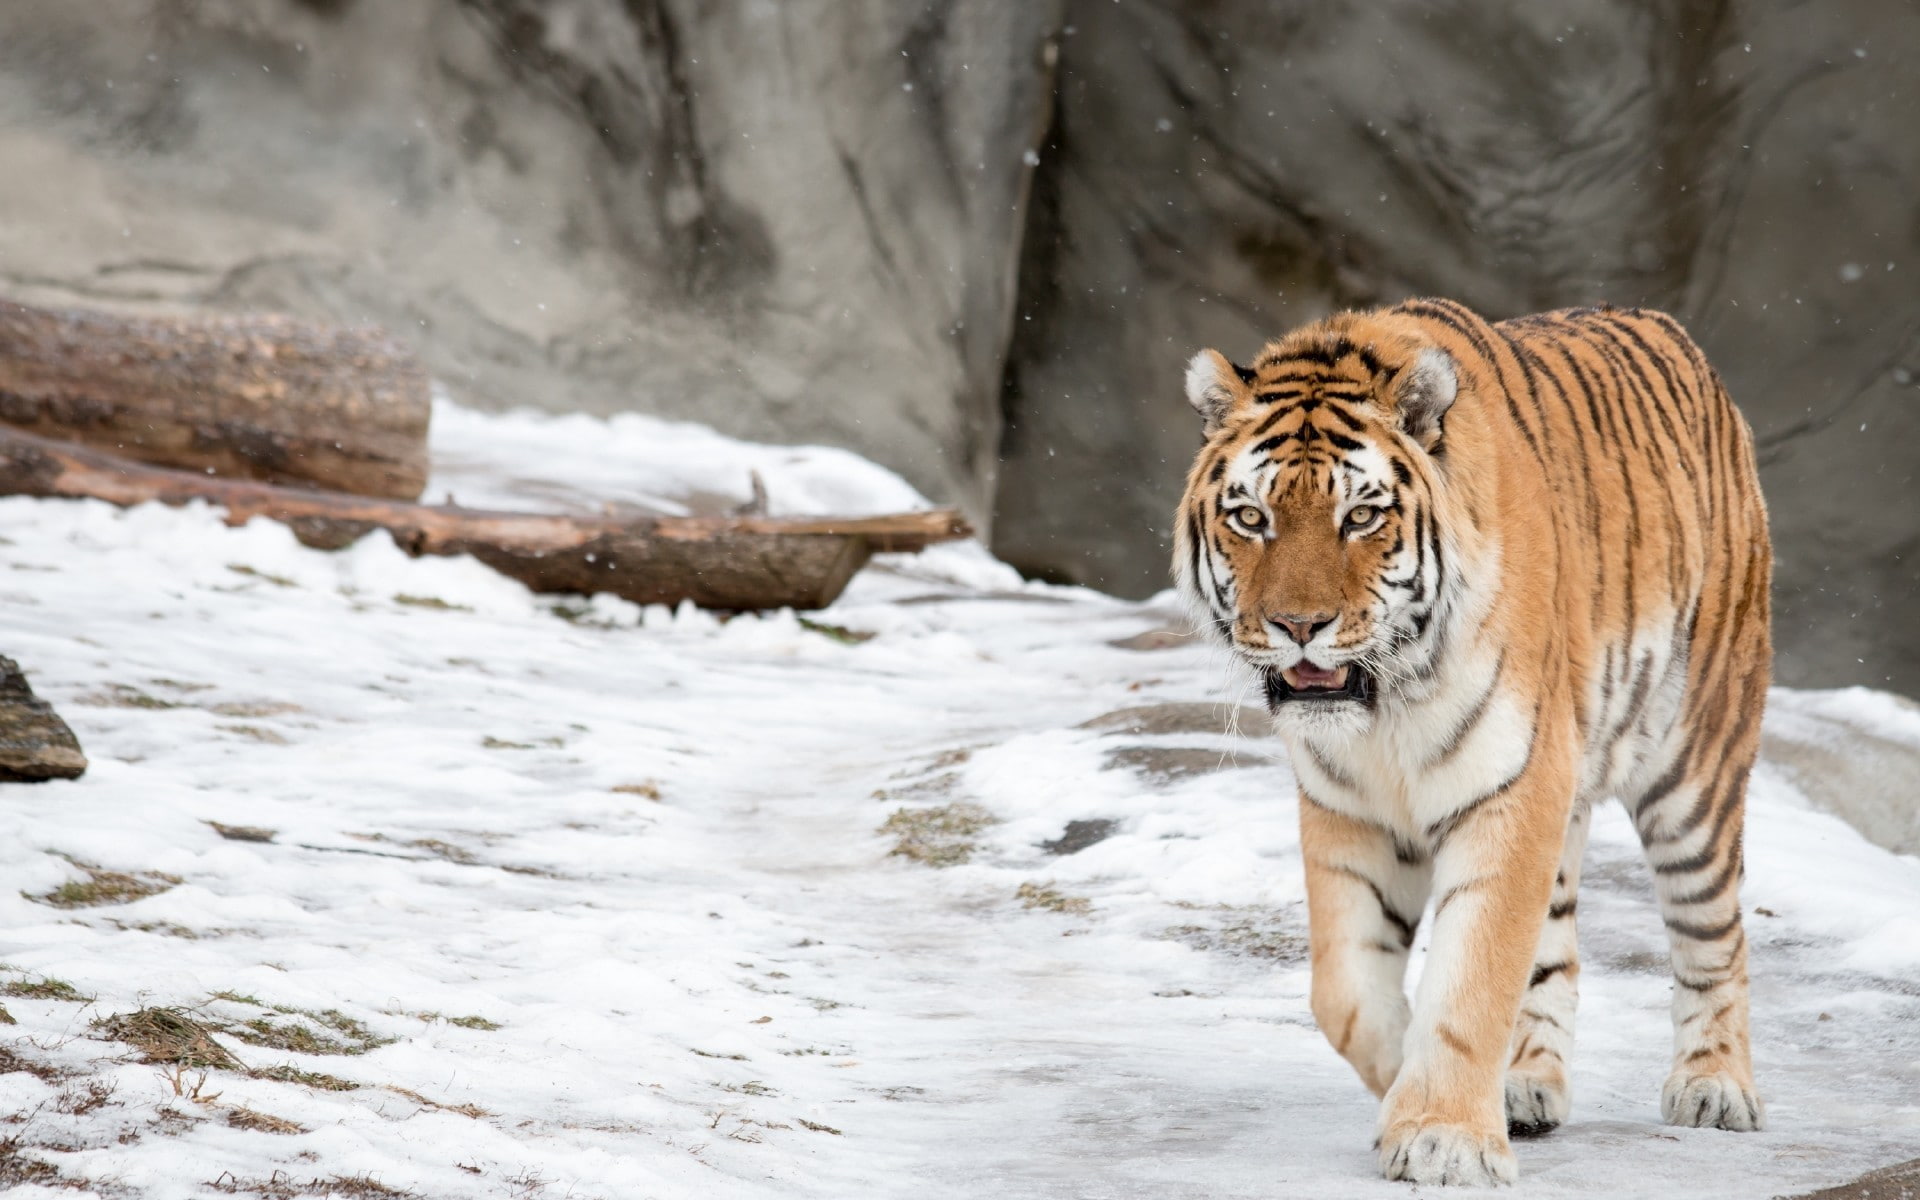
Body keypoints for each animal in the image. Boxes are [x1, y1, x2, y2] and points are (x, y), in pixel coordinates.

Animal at [1173, 297, 1770, 1186]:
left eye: (1361, 516)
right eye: (1252, 517)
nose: (1299, 626)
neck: (1387, 706)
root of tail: (1677, 335)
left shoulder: (1510, 791)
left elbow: (1472, 978)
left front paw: (1444, 1137)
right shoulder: (1348, 807)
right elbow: (1346, 991)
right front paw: (1412, 1090)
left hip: (1694, 764)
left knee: (1713, 932)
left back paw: (1715, 1087)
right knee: (1556, 952)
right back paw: (1526, 1086)